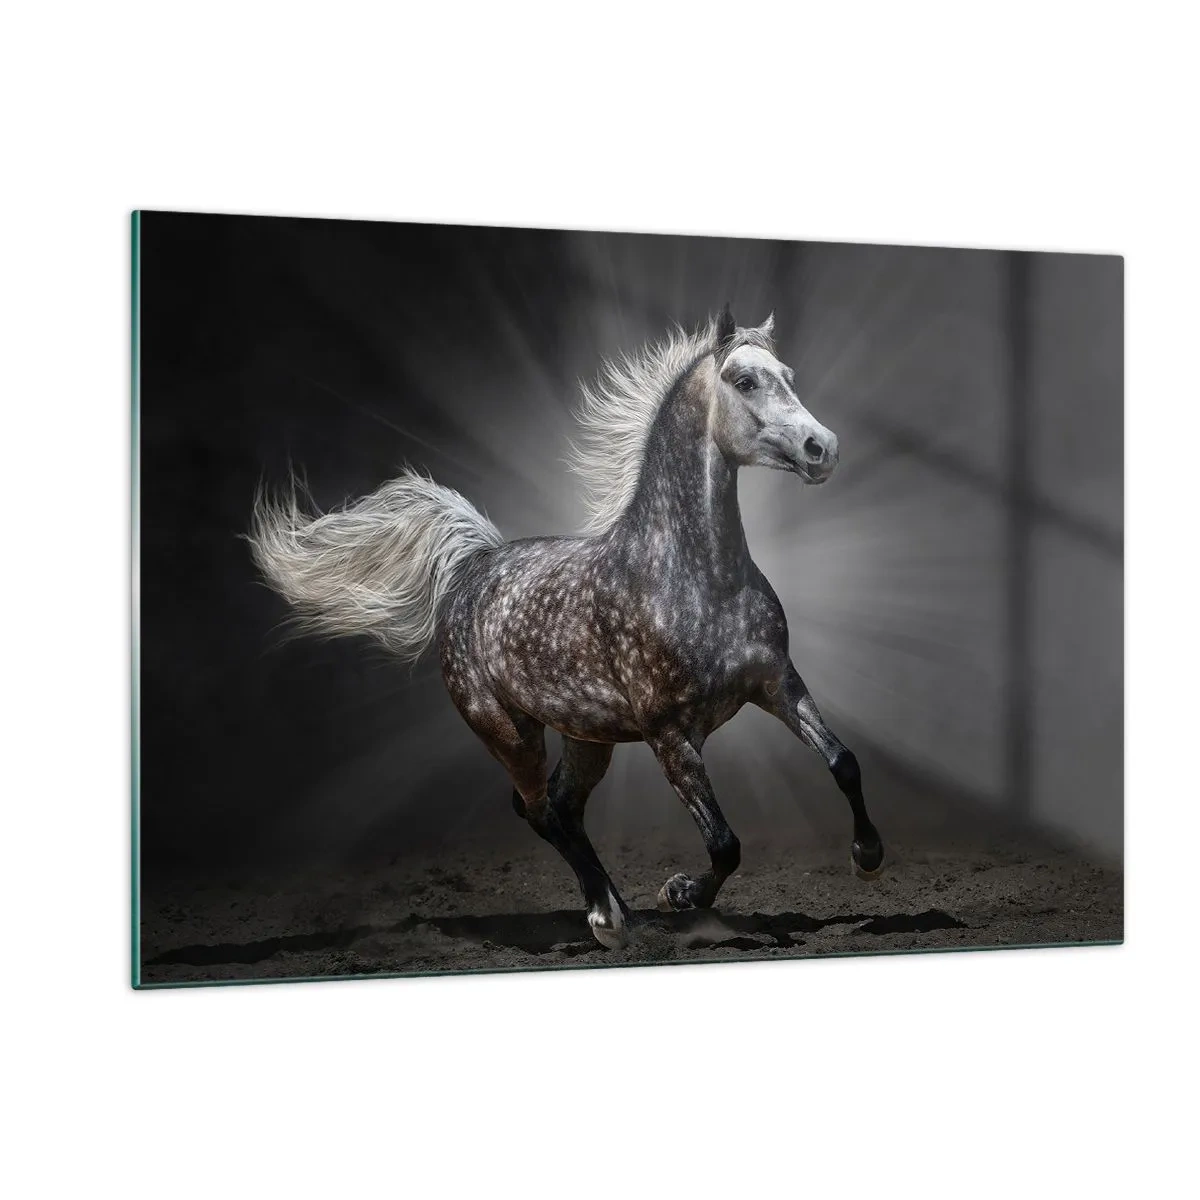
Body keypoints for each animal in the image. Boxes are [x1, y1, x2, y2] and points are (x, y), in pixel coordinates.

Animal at [249, 307, 885, 949]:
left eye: (789, 375)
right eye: (745, 381)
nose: (822, 448)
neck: (696, 578)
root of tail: (473, 567)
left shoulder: (778, 684)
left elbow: (843, 762)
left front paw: (868, 858)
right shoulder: (669, 735)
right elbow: (724, 844)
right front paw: (678, 894)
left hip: (587, 737)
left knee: (563, 806)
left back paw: (617, 908)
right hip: (509, 733)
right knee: (537, 809)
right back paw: (608, 918)